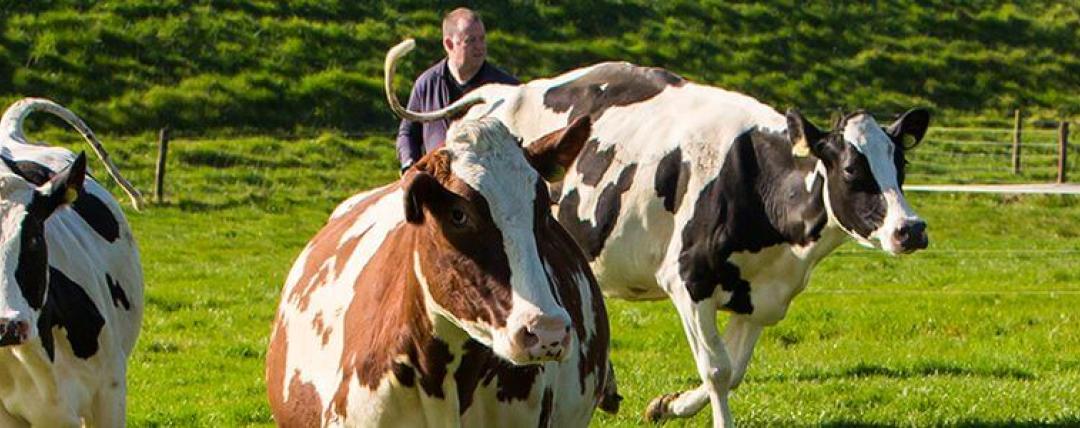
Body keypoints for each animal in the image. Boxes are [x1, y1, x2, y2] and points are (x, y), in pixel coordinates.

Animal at [386, 38, 928, 425]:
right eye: (852, 170)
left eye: (899, 164)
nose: (911, 230)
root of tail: (507, 92)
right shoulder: (688, 280)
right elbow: (718, 370)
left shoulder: (760, 296)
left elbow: (734, 371)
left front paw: (669, 404)